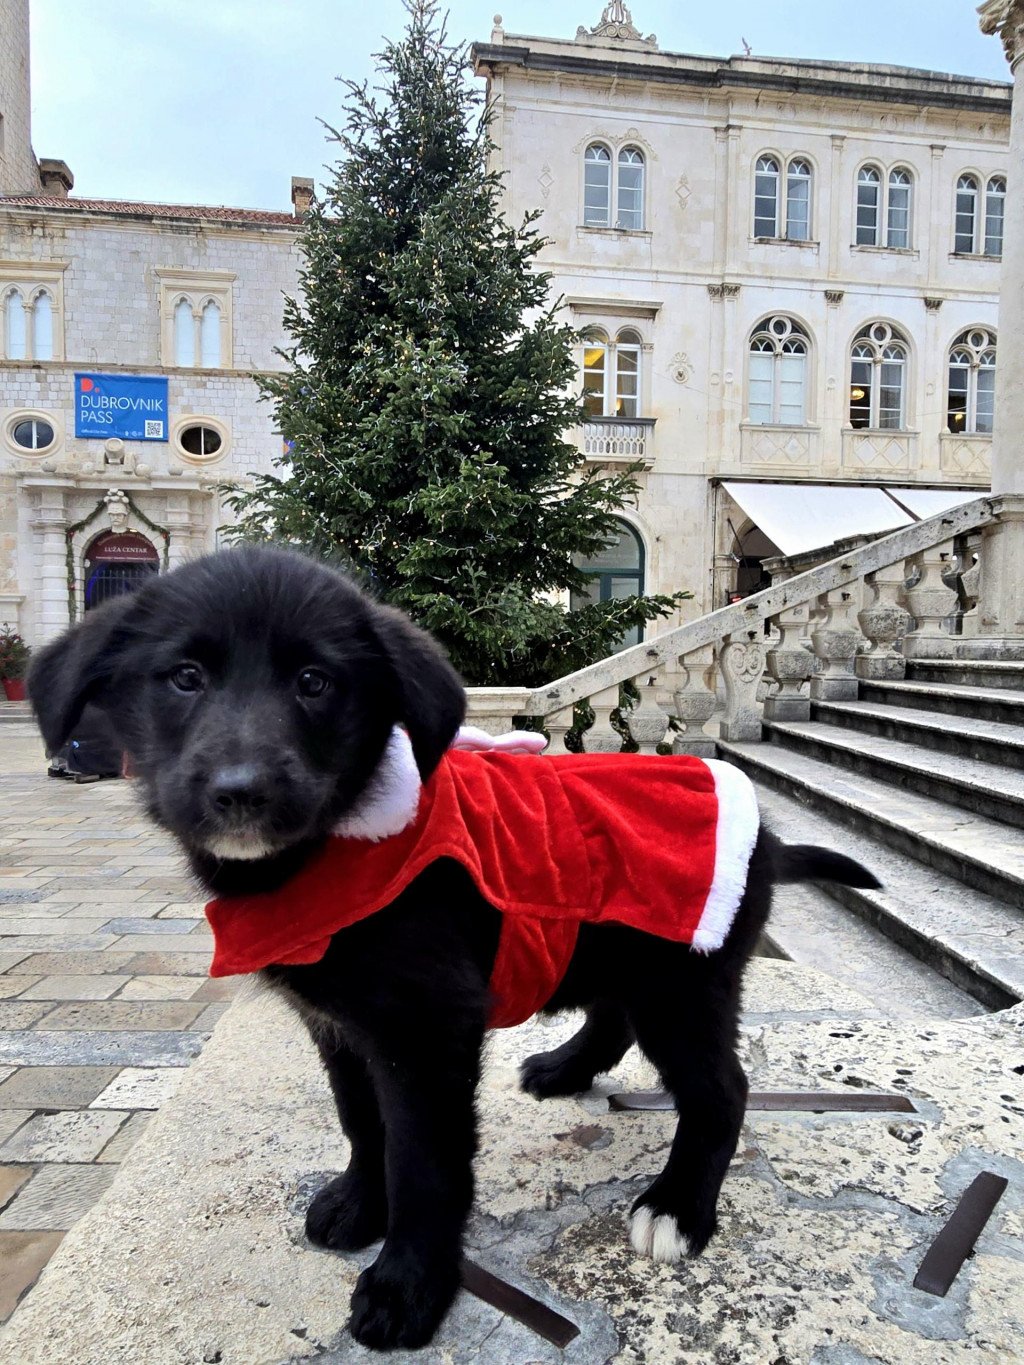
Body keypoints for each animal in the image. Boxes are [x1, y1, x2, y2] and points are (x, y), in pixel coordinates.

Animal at [27, 546, 879, 1354]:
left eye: (314, 682)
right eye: (184, 677)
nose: (242, 792)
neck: (337, 848)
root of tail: (768, 839)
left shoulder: (426, 1029)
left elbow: (425, 1164)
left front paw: (407, 1285)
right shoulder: (342, 1027)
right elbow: (362, 1122)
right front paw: (358, 1203)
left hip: (684, 981)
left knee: (721, 1089)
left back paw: (677, 1207)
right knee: (613, 1016)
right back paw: (564, 1067)